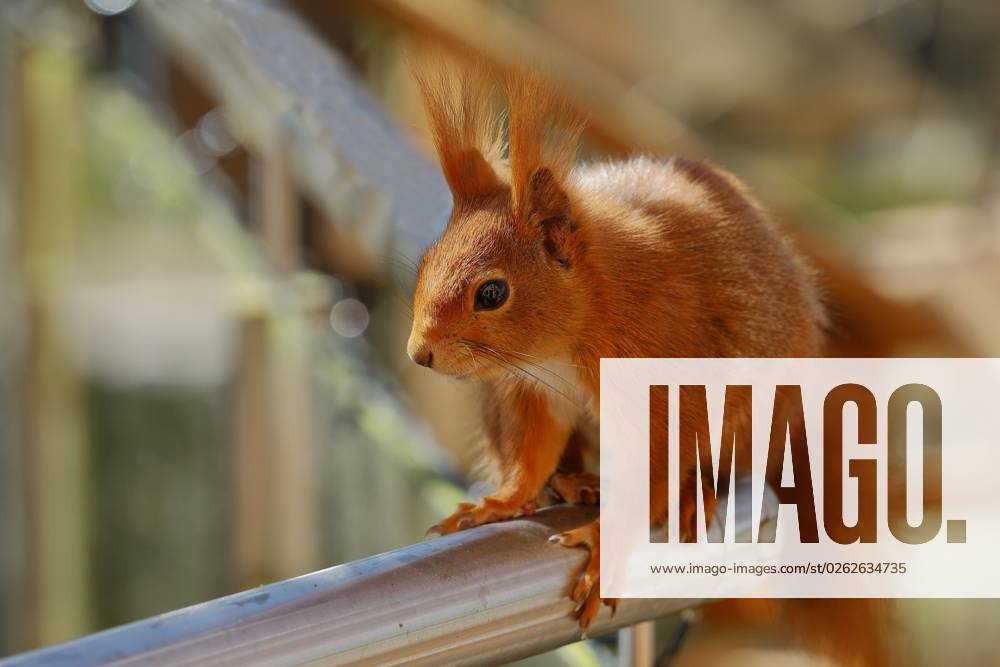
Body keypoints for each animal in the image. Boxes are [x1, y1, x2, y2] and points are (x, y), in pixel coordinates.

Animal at [406, 62, 888, 666]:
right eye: (426, 261)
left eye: (492, 293)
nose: (418, 353)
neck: (566, 341)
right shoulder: (535, 393)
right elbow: (531, 456)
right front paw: (502, 501)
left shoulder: (660, 386)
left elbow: (654, 469)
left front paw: (601, 549)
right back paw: (576, 481)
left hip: (752, 421)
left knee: (711, 467)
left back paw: (690, 492)